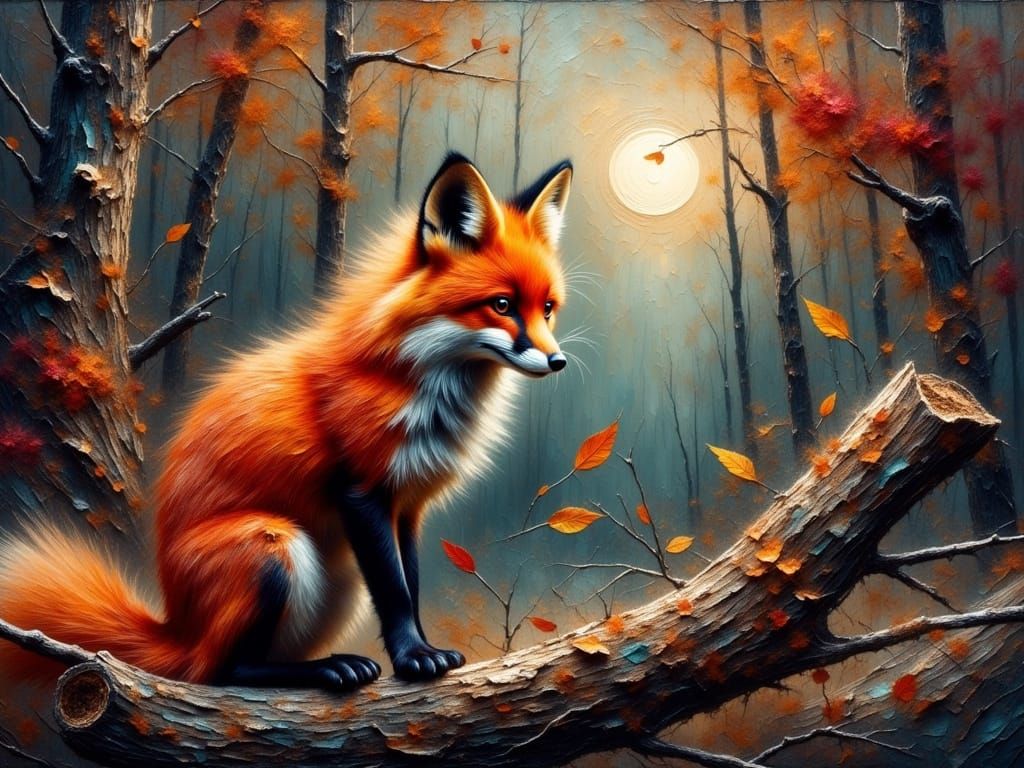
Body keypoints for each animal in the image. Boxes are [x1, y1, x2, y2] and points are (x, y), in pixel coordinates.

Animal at [0, 153, 573, 691]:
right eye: (501, 305)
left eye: (547, 308)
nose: (558, 361)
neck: (414, 381)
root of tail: (176, 628)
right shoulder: (362, 491)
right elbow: (394, 591)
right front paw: (414, 657)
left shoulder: (407, 505)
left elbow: (410, 584)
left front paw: (420, 650)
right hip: (273, 548)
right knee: (220, 671)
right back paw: (327, 669)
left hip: (338, 581)